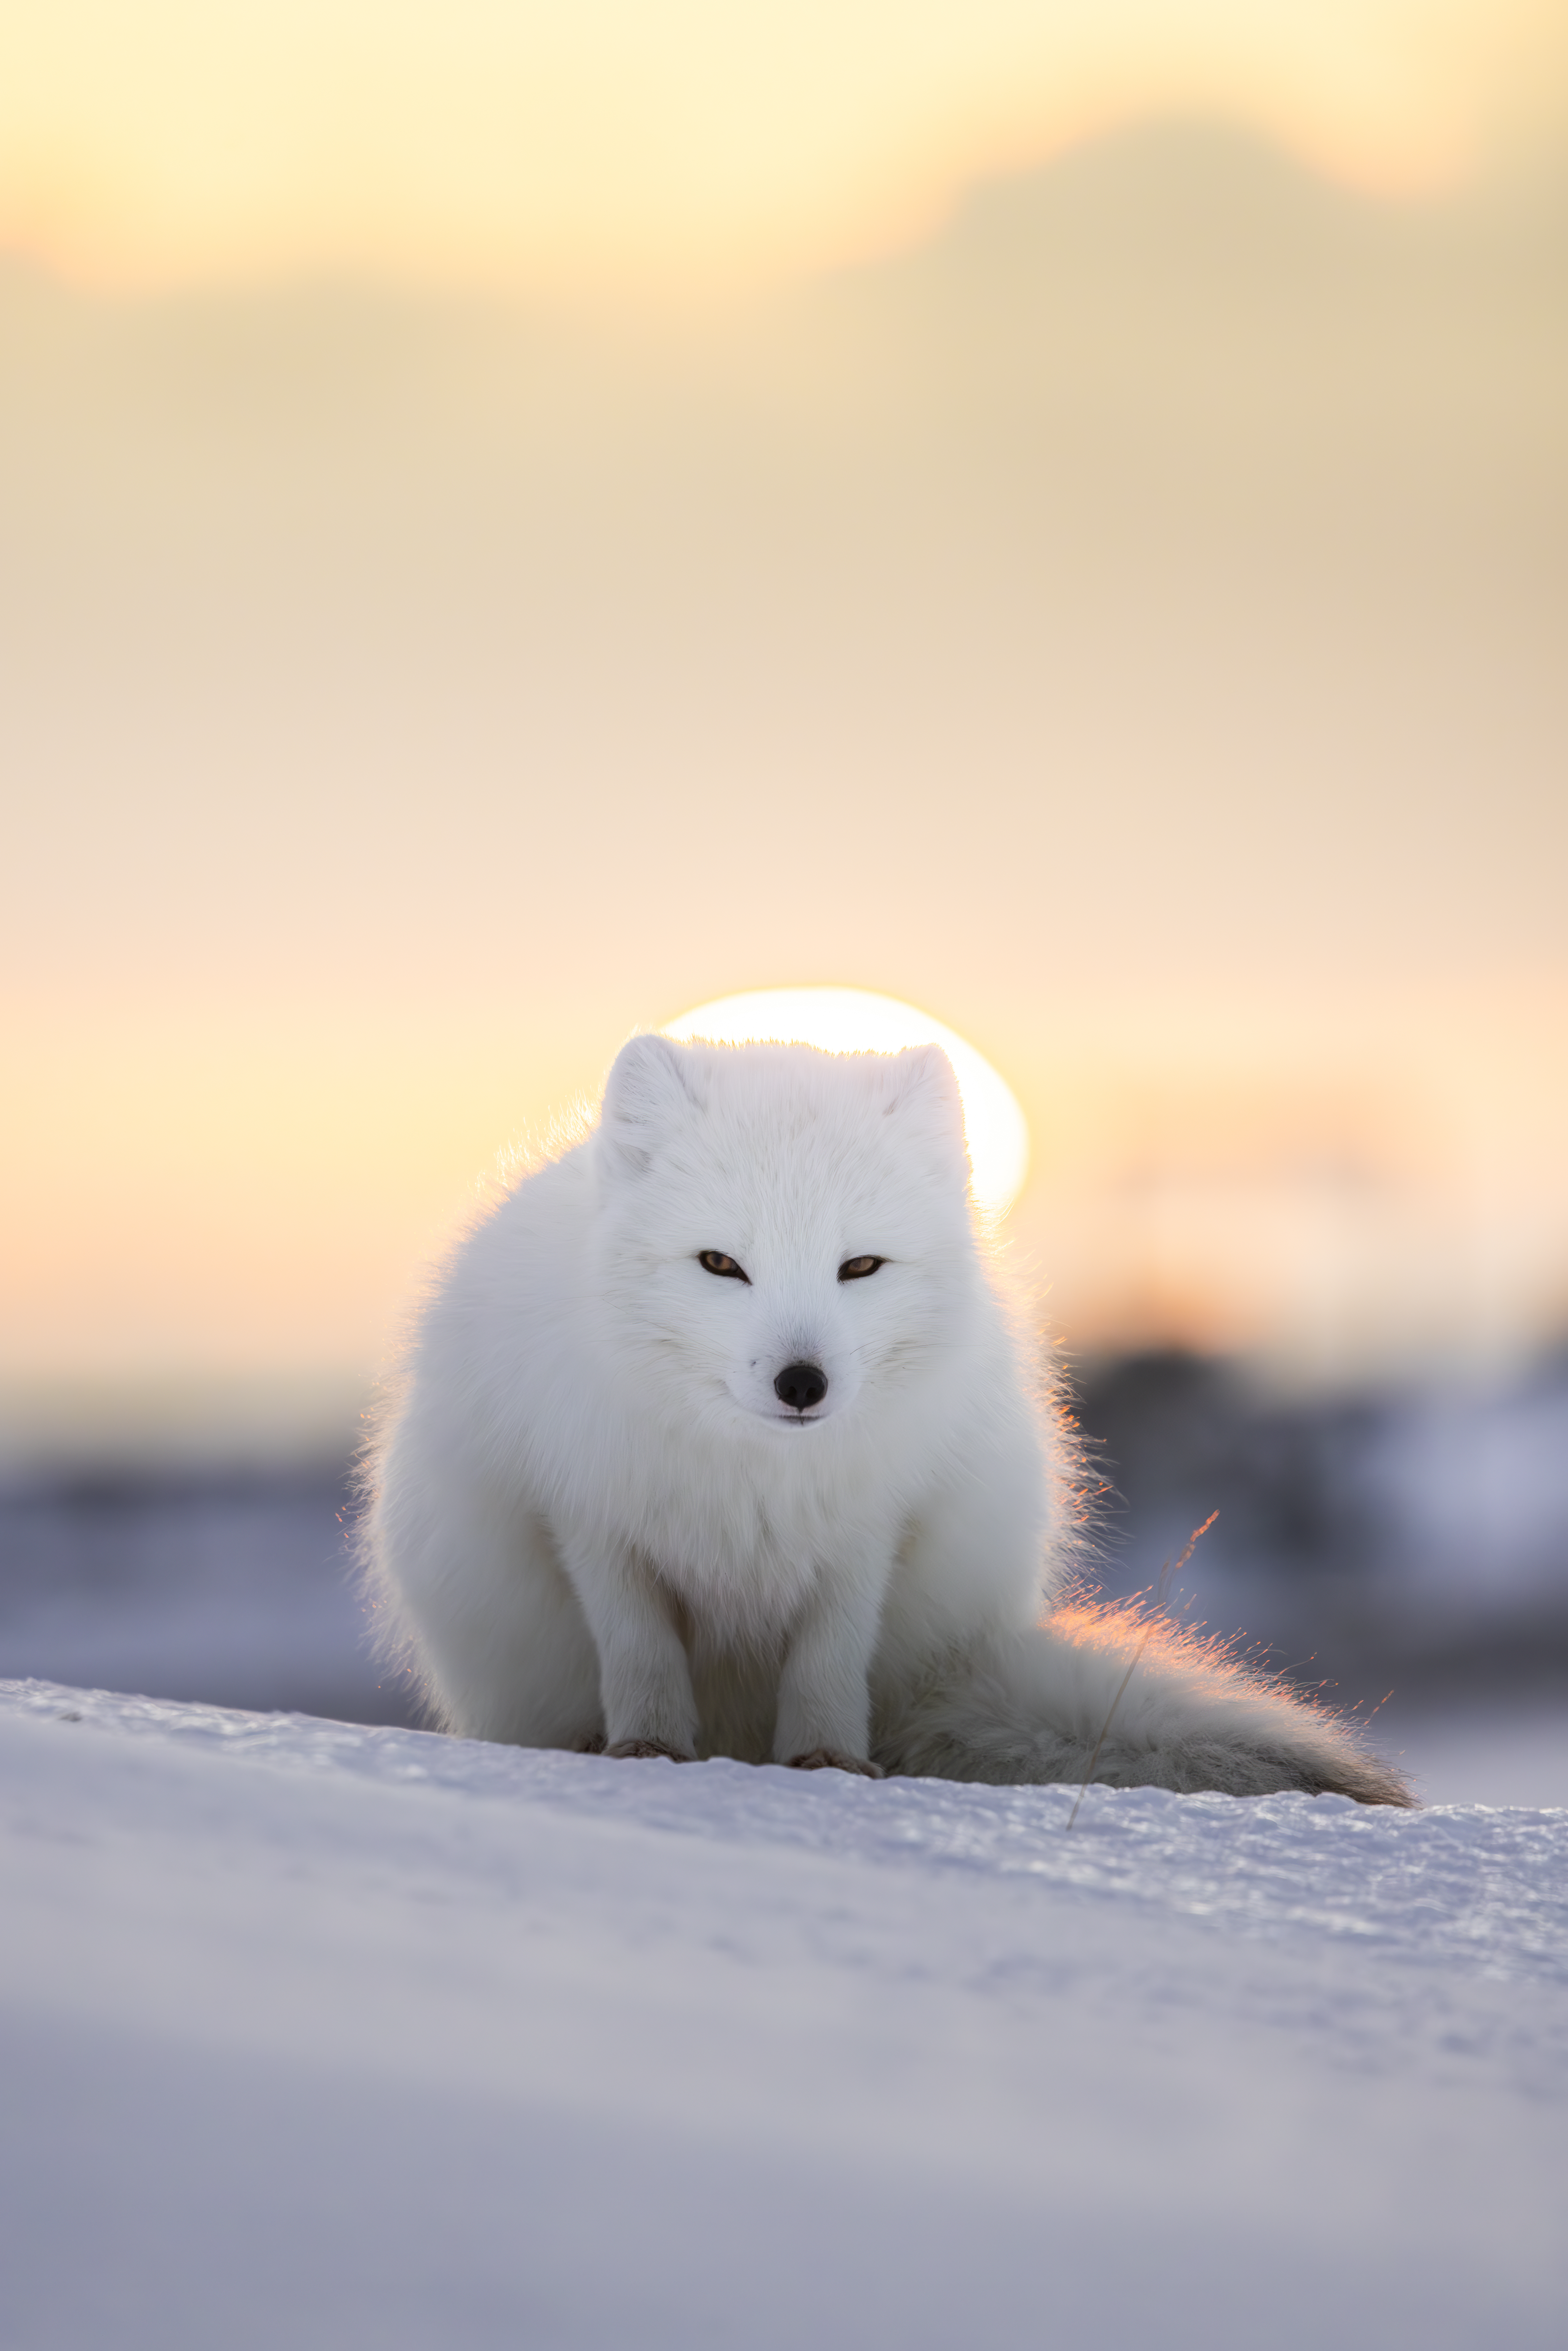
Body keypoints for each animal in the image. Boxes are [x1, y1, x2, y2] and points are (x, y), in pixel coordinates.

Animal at [363, 1034, 1411, 1804]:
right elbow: (640, 1654)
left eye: (860, 1267)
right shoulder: (594, 1522)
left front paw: (827, 1765)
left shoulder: (869, 1532)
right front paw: (648, 1752)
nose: (802, 1382)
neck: (752, 1480)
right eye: (720, 1265)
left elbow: (829, 1662)